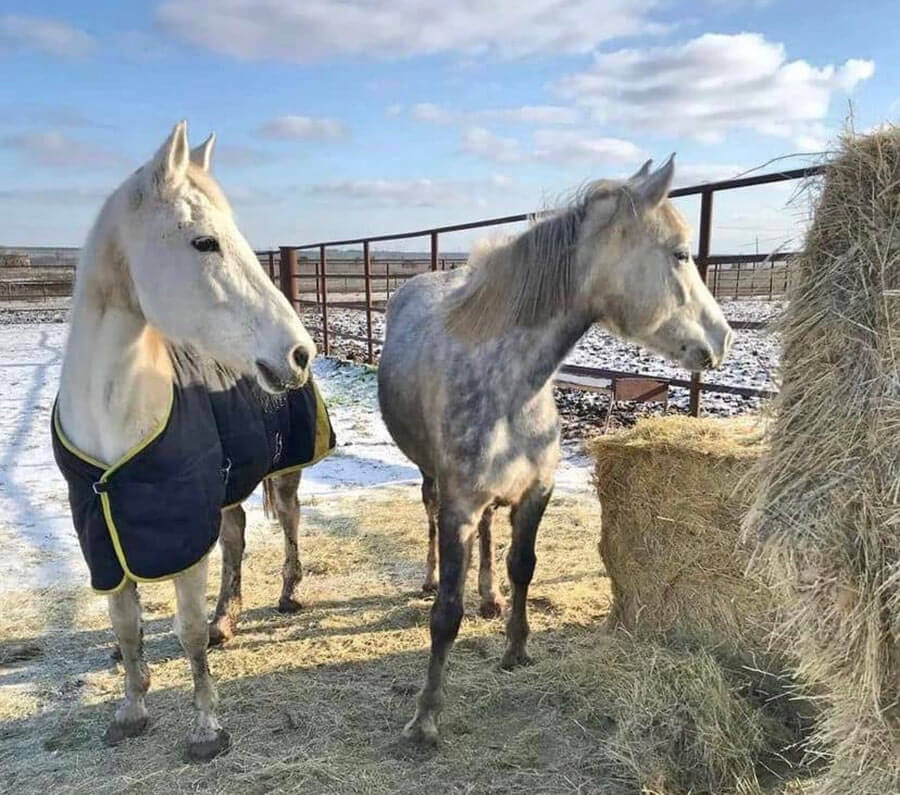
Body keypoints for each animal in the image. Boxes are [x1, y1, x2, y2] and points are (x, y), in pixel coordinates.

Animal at [56, 121, 316, 760]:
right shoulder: (104, 534)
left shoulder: (179, 530)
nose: (299, 353)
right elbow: (127, 627)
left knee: (290, 521)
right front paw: (130, 711)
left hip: (284, 471)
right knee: (237, 536)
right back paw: (230, 617)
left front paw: (206, 728)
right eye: (205, 243)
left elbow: (188, 630)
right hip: (222, 489)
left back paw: (288, 594)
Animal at [376, 157, 736, 748]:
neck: (511, 387)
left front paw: (517, 647)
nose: (722, 339)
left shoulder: (535, 492)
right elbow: (446, 612)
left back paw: (489, 596)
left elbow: (523, 566)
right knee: (428, 518)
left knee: (489, 538)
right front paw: (426, 716)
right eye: (681, 253)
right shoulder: (459, 507)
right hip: (430, 477)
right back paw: (430, 579)